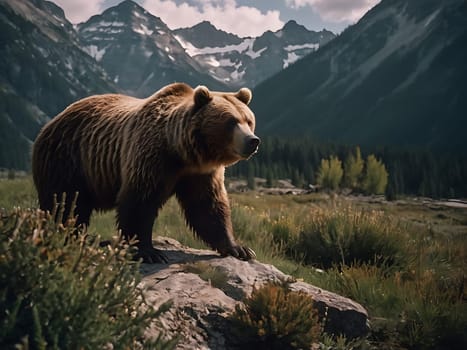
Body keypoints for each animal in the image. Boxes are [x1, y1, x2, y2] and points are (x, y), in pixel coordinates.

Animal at [33, 82, 260, 262]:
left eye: (248, 120)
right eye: (231, 121)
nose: (253, 140)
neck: (183, 152)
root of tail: (53, 119)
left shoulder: (200, 173)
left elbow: (208, 206)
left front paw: (239, 248)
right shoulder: (152, 157)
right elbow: (139, 202)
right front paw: (148, 251)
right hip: (68, 159)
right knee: (65, 202)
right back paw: (65, 235)